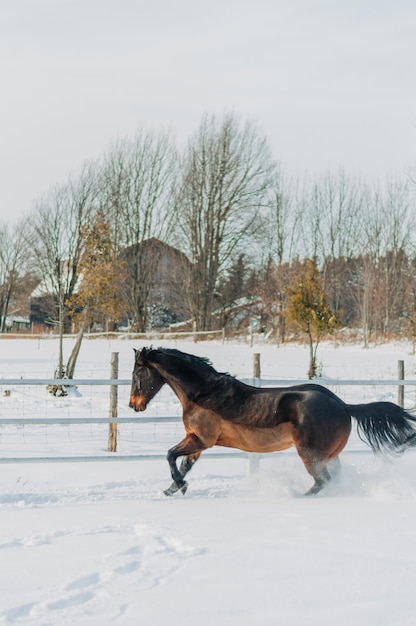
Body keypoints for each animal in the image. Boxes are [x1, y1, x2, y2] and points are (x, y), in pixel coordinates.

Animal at [128, 344, 416, 494]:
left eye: (136, 375)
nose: (134, 405)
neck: (204, 395)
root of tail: (344, 406)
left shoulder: (201, 439)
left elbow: (170, 455)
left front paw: (179, 486)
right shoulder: (196, 442)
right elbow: (184, 464)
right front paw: (174, 488)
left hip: (310, 455)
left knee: (322, 481)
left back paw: (298, 496)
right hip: (329, 455)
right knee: (333, 478)